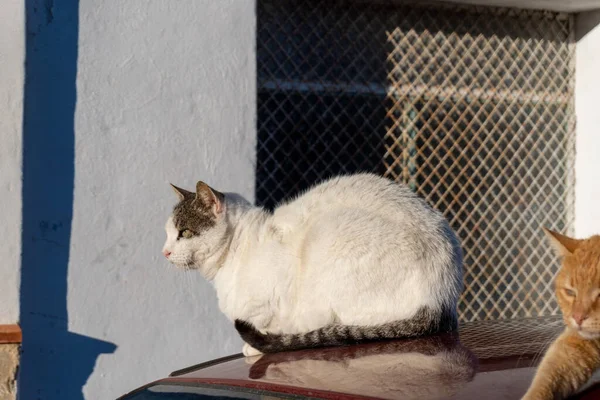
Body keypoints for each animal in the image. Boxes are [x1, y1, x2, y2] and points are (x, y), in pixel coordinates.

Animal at [163, 173, 464, 354]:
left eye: (184, 233)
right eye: (167, 233)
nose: (164, 252)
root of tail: (442, 297)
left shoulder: (274, 298)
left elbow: (268, 324)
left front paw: (255, 347)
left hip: (328, 236)